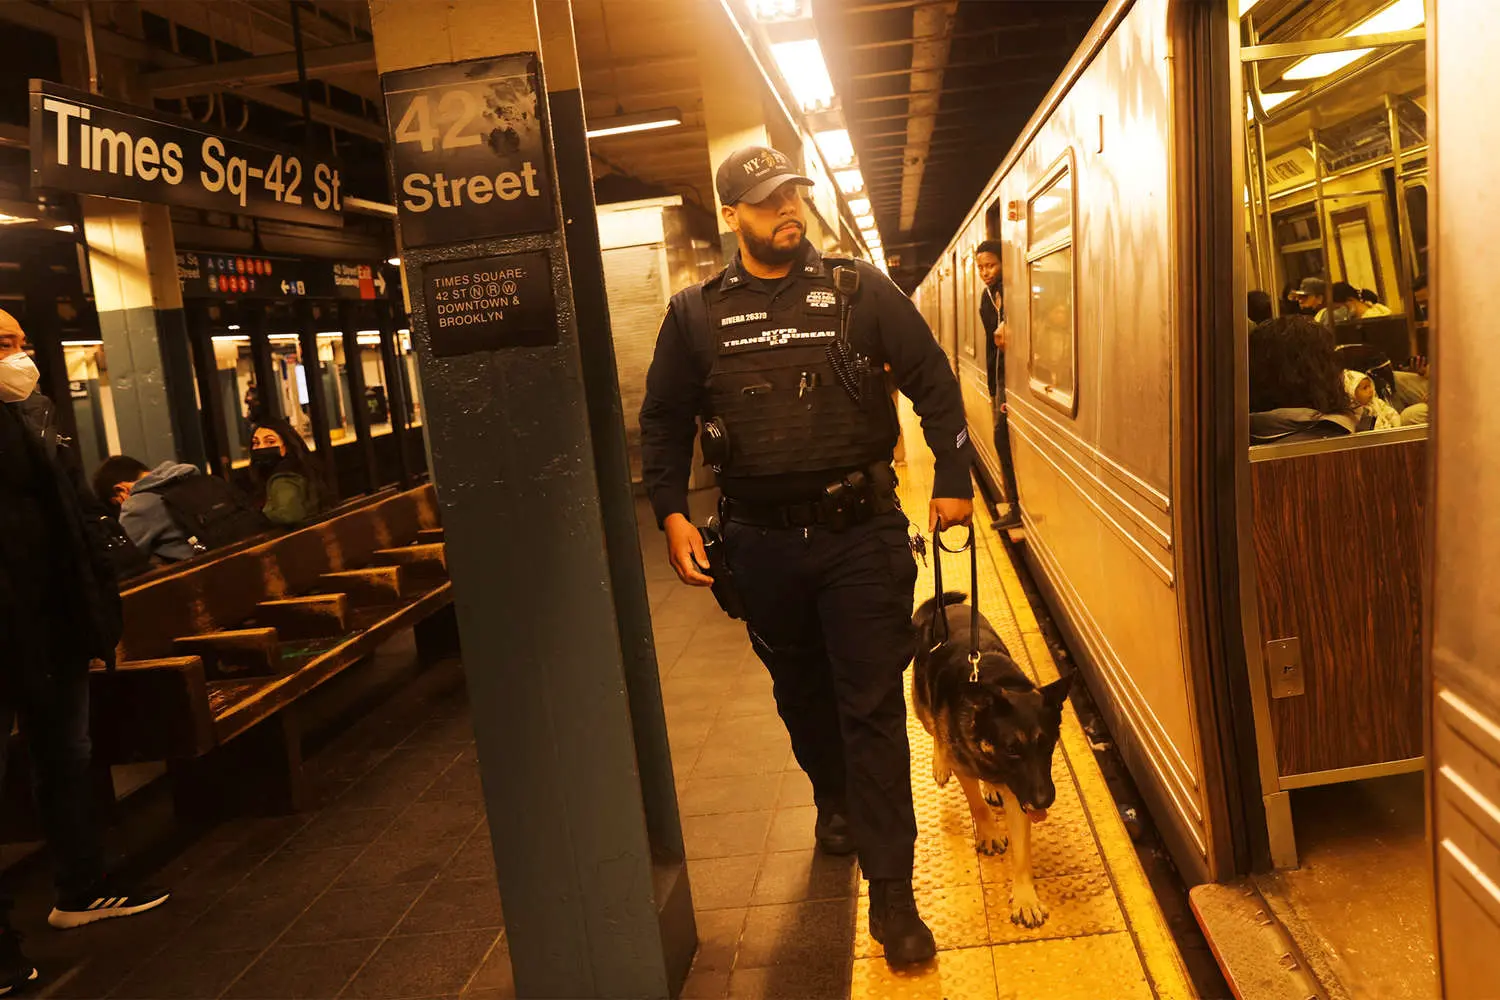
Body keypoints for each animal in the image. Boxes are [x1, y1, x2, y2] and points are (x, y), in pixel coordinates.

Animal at [911, 591, 1072, 928]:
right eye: (1012, 749)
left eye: (1049, 744)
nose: (1043, 801)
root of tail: (943, 607)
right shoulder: (969, 766)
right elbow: (976, 805)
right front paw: (988, 832)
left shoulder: (1020, 792)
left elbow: (1022, 852)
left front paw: (1025, 898)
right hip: (922, 707)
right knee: (934, 730)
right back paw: (941, 762)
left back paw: (991, 786)